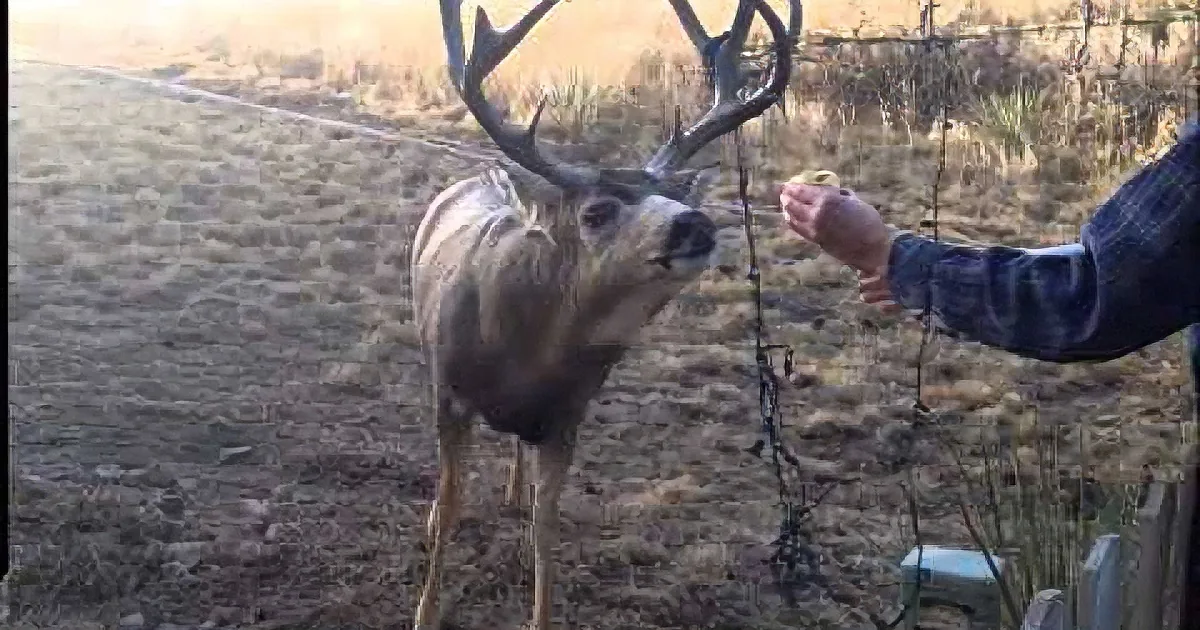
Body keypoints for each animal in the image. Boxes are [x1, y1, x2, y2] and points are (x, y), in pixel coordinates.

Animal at [411, 1, 801, 628]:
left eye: (677, 196)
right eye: (596, 211)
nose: (695, 222)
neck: (523, 356)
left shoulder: (568, 416)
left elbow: (547, 528)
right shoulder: (451, 392)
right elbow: (449, 507)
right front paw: (426, 611)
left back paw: (513, 490)